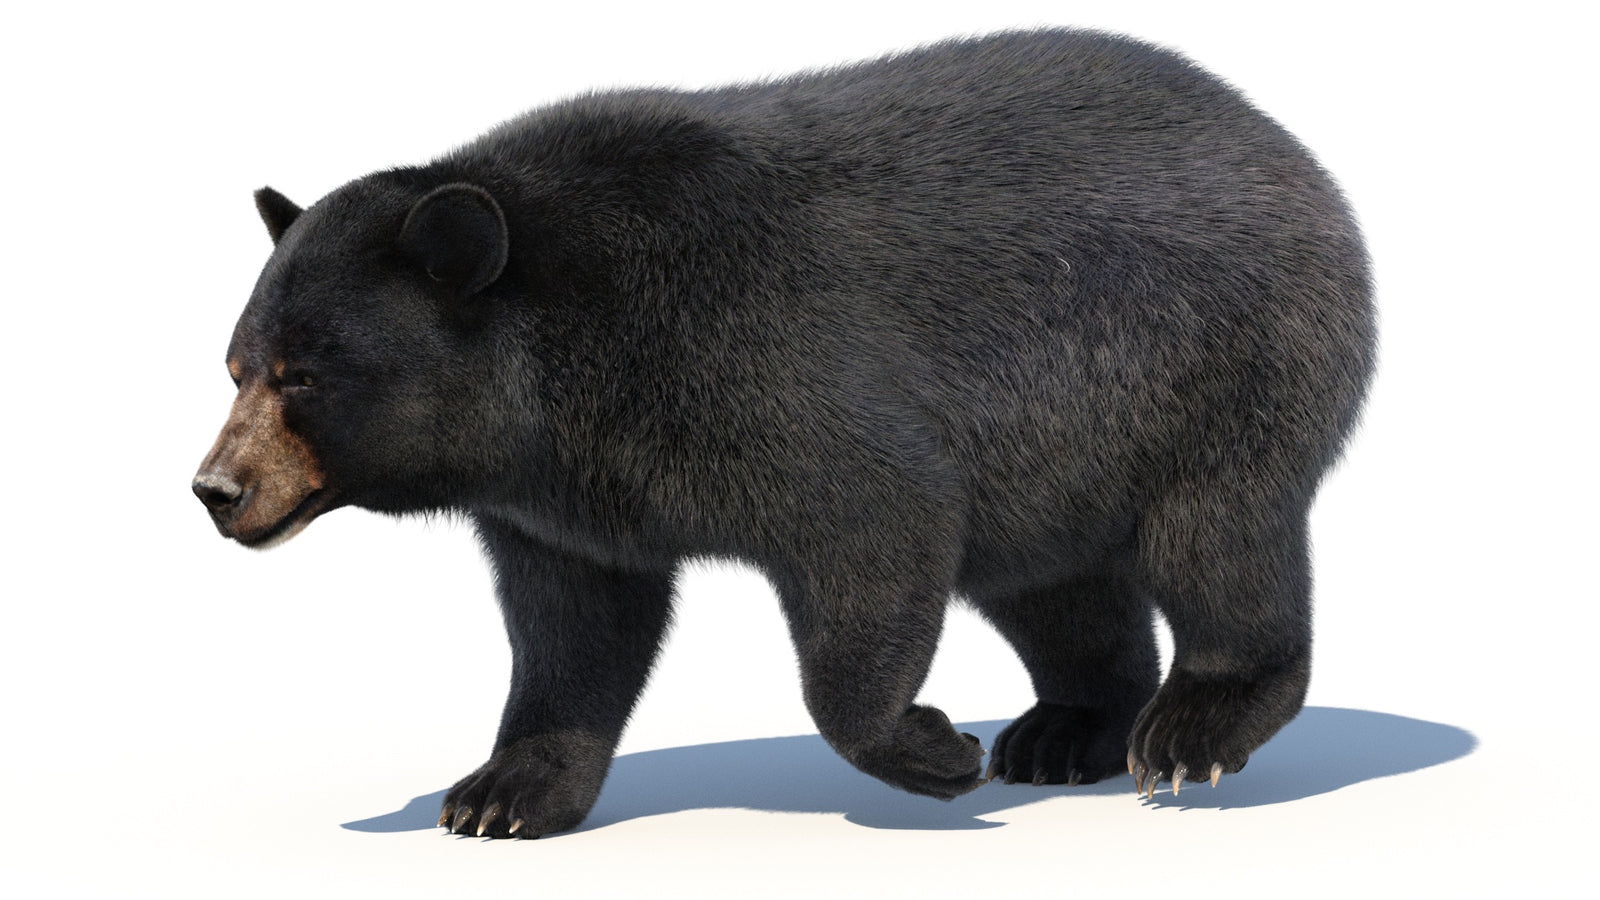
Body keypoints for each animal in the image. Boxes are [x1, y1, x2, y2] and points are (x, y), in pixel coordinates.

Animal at [194, 28, 1375, 839]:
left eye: (306, 376)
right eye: (237, 366)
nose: (216, 489)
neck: (559, 374)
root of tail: (1287, 148)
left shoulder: (755, 361)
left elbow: (878, 516)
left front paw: (928, 748)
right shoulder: (560, 498)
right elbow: (574, 627)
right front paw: (501, 791)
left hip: (1216, 363)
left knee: (1215, 539)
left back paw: (1191, 729)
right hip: (1059, 457)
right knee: (1054, 585)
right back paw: (1067, 728)